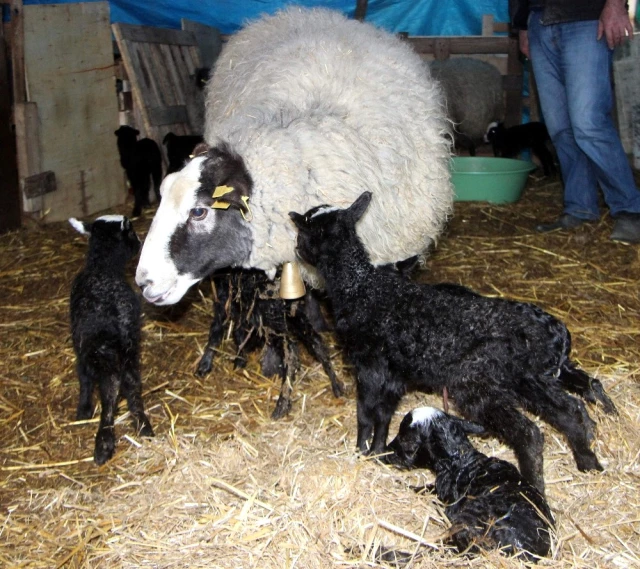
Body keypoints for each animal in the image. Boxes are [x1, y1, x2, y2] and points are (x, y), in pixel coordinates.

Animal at [69, 215, 154, 464]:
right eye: (131, 233)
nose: (140, 242)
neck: (102, 268)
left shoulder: (82, 352)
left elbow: (84, 380)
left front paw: (83, 410)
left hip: (106, 357)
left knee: (109, 396)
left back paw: (103, 445)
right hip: (129, 352)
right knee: (133, 389)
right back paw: (144, 427)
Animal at [196, 266, 342, 418]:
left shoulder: (225, 299)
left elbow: (217, 330)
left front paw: (204, 365)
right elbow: (238, 333)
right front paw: (239, 361)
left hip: (271, 316)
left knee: (290, 351)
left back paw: (282, 404)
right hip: (293, 313)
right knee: (316, 342)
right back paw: (336, 385)